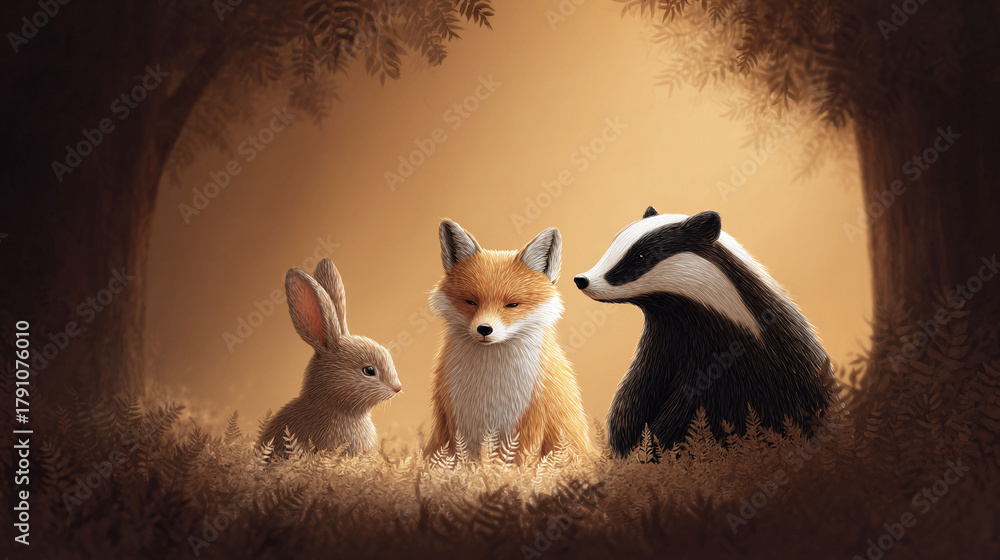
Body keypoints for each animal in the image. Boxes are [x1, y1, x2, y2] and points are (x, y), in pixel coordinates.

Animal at [426, 220, 592, 462]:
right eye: (470, 302)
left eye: (512, 305)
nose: (484, 329)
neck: (490, 386)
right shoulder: (453, 420)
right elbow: (461, 461)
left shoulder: (533, 420)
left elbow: (520, 462)